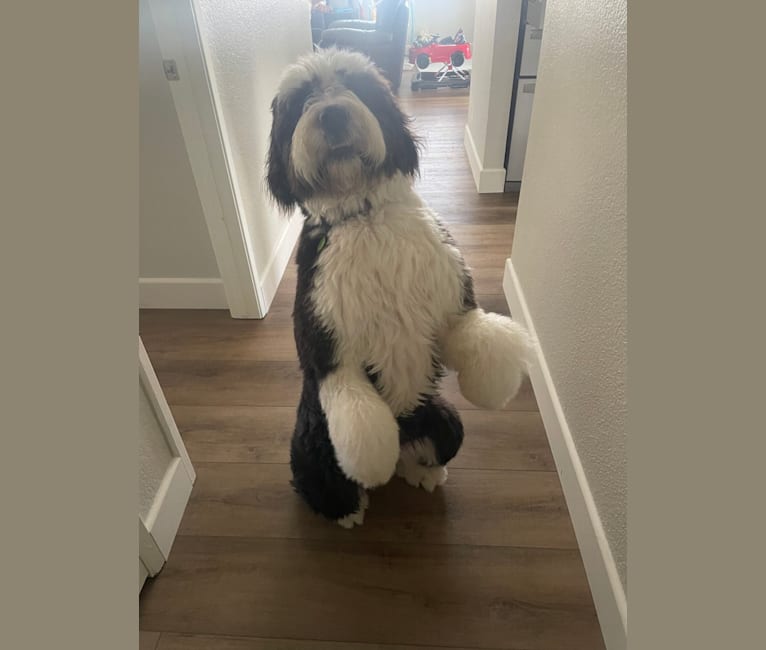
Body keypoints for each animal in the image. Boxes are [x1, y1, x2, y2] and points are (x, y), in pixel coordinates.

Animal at [264, 49, 536, 528]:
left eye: (356, 84)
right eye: (300, 101)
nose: (332, 115)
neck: (366, 217)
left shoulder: (451, 303)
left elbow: (480, 334)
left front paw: (494, 384)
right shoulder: (327, 347)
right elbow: (359, 418)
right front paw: (373, 465)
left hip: (446, 419)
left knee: (430, 450)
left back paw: (422, 472)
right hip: (312, 447)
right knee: (316, 483)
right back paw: (350, 510)